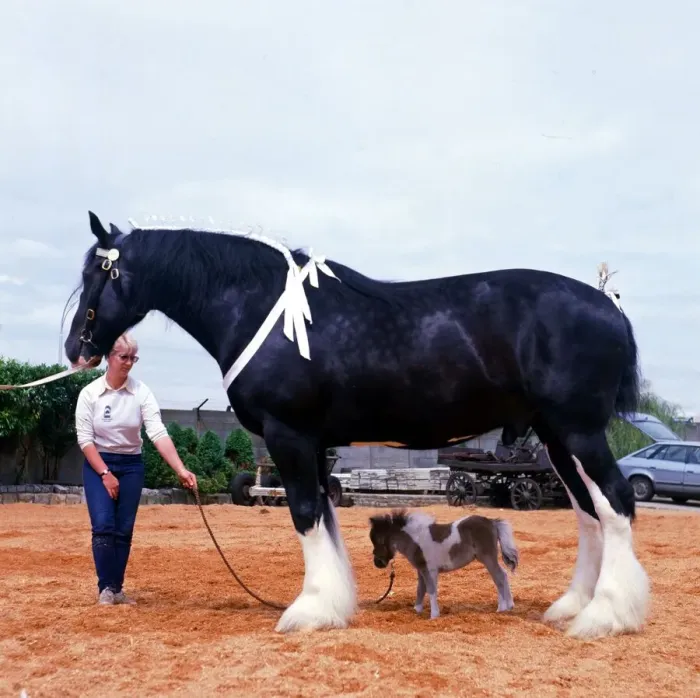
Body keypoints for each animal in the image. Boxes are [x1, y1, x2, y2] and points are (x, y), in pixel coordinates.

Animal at [369, 509, 519, 618]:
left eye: (379, 540)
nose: (377, 563)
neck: (417, 540)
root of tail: (492, 522)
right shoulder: (421, 570)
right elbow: (420, 589)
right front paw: (417, 610)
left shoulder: (430, 570)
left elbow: (431, 589)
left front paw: (434, 615)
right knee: (500, 577)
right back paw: (505, 606)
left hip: (487, 557)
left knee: (500, 576)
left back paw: (504, 607)